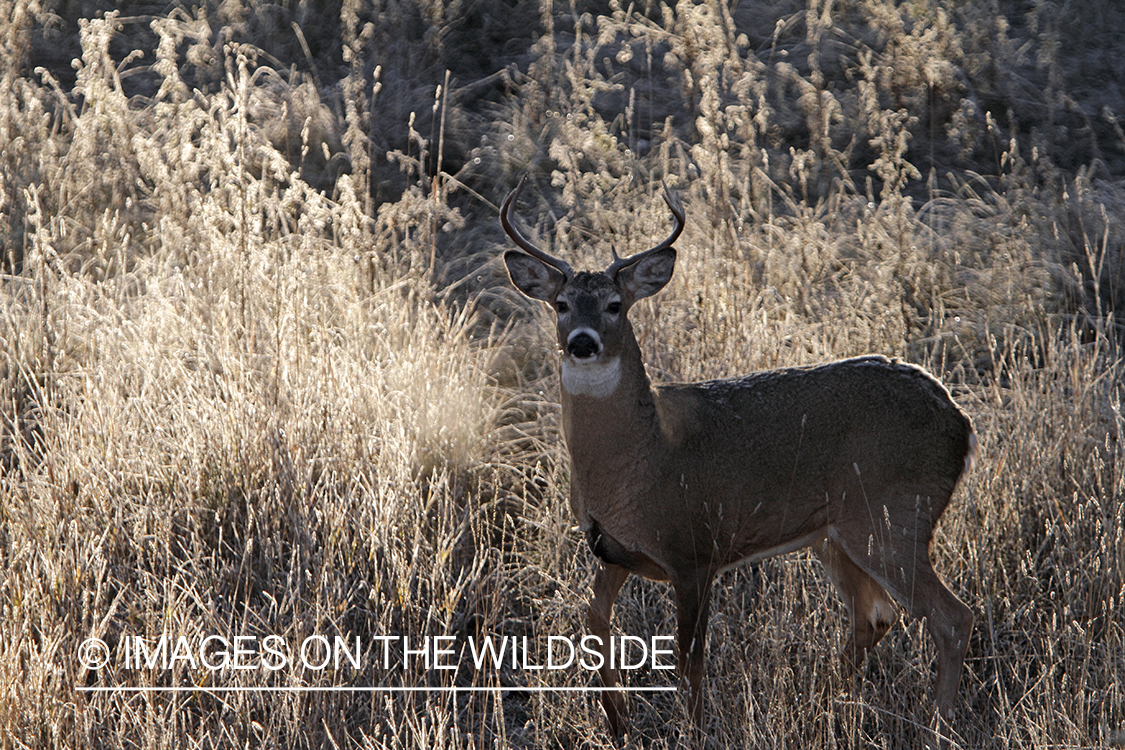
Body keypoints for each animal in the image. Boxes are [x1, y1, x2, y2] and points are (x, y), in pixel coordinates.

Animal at [501, 177, 976, 737]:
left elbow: (690, 659)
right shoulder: (614, 549)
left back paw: (937, 722)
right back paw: (824, 704)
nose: (581, 342)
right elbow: (594, 626)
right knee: (875, 614)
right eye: (561, 304)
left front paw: (694, 732)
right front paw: (618, 726)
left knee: (951, 617)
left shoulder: (693, 548)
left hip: (894, 515)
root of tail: (961, 424)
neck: (639, 459)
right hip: (835, 532)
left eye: (616, 304)